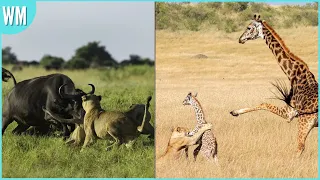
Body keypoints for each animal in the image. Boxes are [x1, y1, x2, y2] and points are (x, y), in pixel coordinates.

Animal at [230, 14, 318, 158]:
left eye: (249, 27)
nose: (240, 39)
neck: (295, 76)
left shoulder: (291, 114)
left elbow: (264, 104)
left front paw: (235, 112)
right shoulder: (290, 112)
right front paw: (235, 111)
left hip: (304, 121)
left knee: (300, 146)